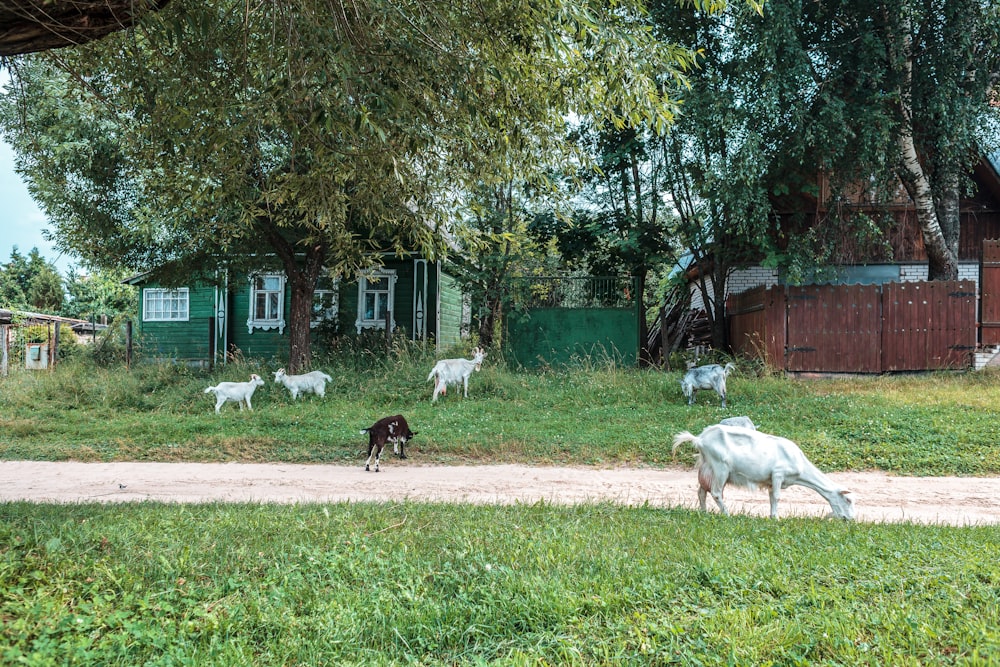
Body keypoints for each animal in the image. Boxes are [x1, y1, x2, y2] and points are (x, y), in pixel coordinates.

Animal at [672, 422, 852, 520]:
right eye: (849, 500)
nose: (850, 519)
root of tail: (700, 439)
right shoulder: (778, 474)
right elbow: (778, 497)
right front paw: (777, 518)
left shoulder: (771, 481)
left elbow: (772, 498)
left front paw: (772, 517)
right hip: (720, 467)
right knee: (716, 492)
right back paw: (727, 514)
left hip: (707, 468)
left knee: (702, 491)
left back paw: (704, 512)